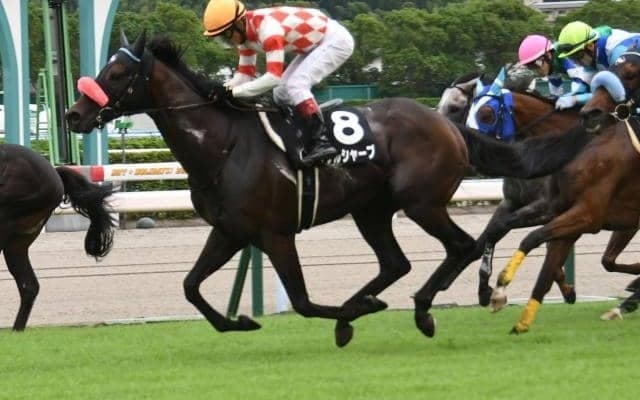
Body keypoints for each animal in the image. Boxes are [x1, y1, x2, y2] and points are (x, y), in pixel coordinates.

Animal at [65, 32, 589, 346]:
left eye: (116, 73)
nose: (73, 114)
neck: (223, 143)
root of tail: (447, 124)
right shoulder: (230, 230)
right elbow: (191, 286)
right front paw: (237, 320)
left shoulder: (275, 233)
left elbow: (300, 300)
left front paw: (347, 317)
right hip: (372, 210)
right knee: (396, 262)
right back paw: (374, 303)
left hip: (420, 201)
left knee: (462, 246)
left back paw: (419, 310)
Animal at [489, 55, 640, 333]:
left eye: (486, 113)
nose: (591, 113)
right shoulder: (565, 214)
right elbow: (545, 264)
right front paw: (520, 322)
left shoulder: (588, 215)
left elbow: (532, 238)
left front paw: (501, 288)